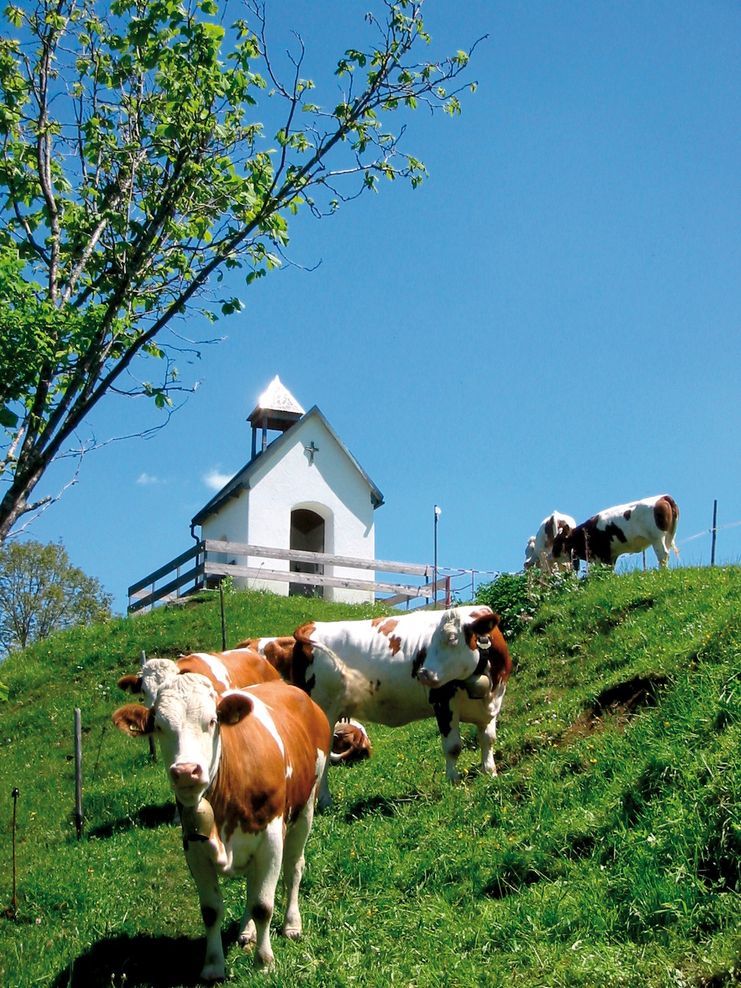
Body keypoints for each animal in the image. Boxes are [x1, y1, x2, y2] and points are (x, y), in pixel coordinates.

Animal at [112, 664, 326, 980]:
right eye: (159, 726)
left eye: (212, 721)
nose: (186, 771)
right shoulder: (194, 846)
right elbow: (211, 910)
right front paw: (214, 964)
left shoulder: (272, 839)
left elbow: (263, 905)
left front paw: (264, 961)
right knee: (252, 883)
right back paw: (247, 932)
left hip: (306, 807)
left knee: (294, 868)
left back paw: (291, 924)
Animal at [286, 604, 512, 812]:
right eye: (431, 640)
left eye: (452, 638)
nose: (422, 673)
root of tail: (312, 625)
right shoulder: (443, 702)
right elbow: (453, 746)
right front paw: (453, 782)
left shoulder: (492, 706)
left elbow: (488, 739)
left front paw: (490, 772)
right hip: (324, 712)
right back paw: (324, 802)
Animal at [548, 494, 676, 572]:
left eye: (557, 542)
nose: (549, 556)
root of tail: (662, 497)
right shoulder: (611, 556)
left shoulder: (603, 555)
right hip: (669, 535)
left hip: (657, 538)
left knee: (663, 554)